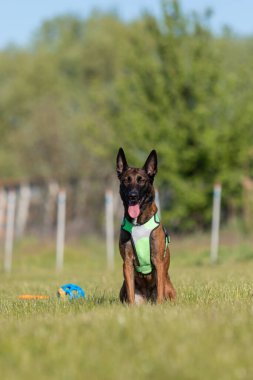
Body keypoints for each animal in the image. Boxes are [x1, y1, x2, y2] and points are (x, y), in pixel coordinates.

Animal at [116, 147, 176, 304]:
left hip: (168, 287)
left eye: (141, 180)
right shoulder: (127, 263)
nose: (133, 196)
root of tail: (147, 298)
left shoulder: (158, 261)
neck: (138, 224)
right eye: (125, 180)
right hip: (122, 289)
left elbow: (160, 291)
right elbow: (131, 294)